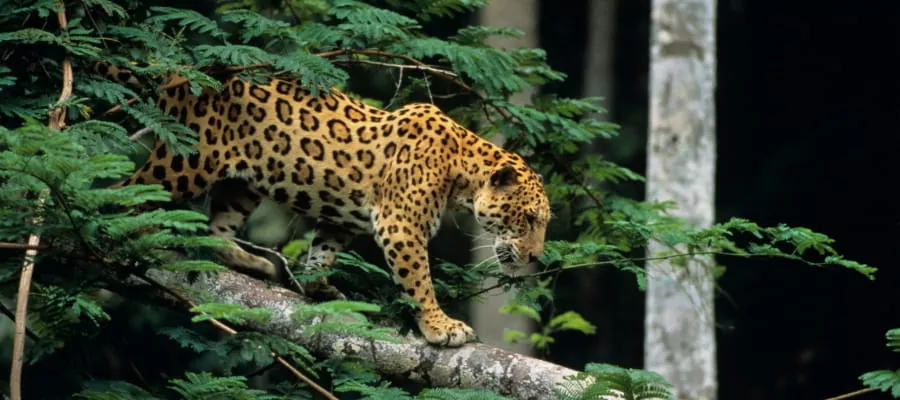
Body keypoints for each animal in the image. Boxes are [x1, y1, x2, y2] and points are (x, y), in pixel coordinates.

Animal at [98, 63, 552, 347]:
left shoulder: (346, 222)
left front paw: (316, 285)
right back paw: (132, 230)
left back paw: (252, 262)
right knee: (126, 190)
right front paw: (440, 327)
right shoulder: (401, 226)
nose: (535, 258)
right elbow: (419, 281)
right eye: (529, 219)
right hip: (187, 161)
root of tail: (180, 75)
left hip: (244, 184)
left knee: (217, 229)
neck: (461, 169)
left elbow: (324, 251)